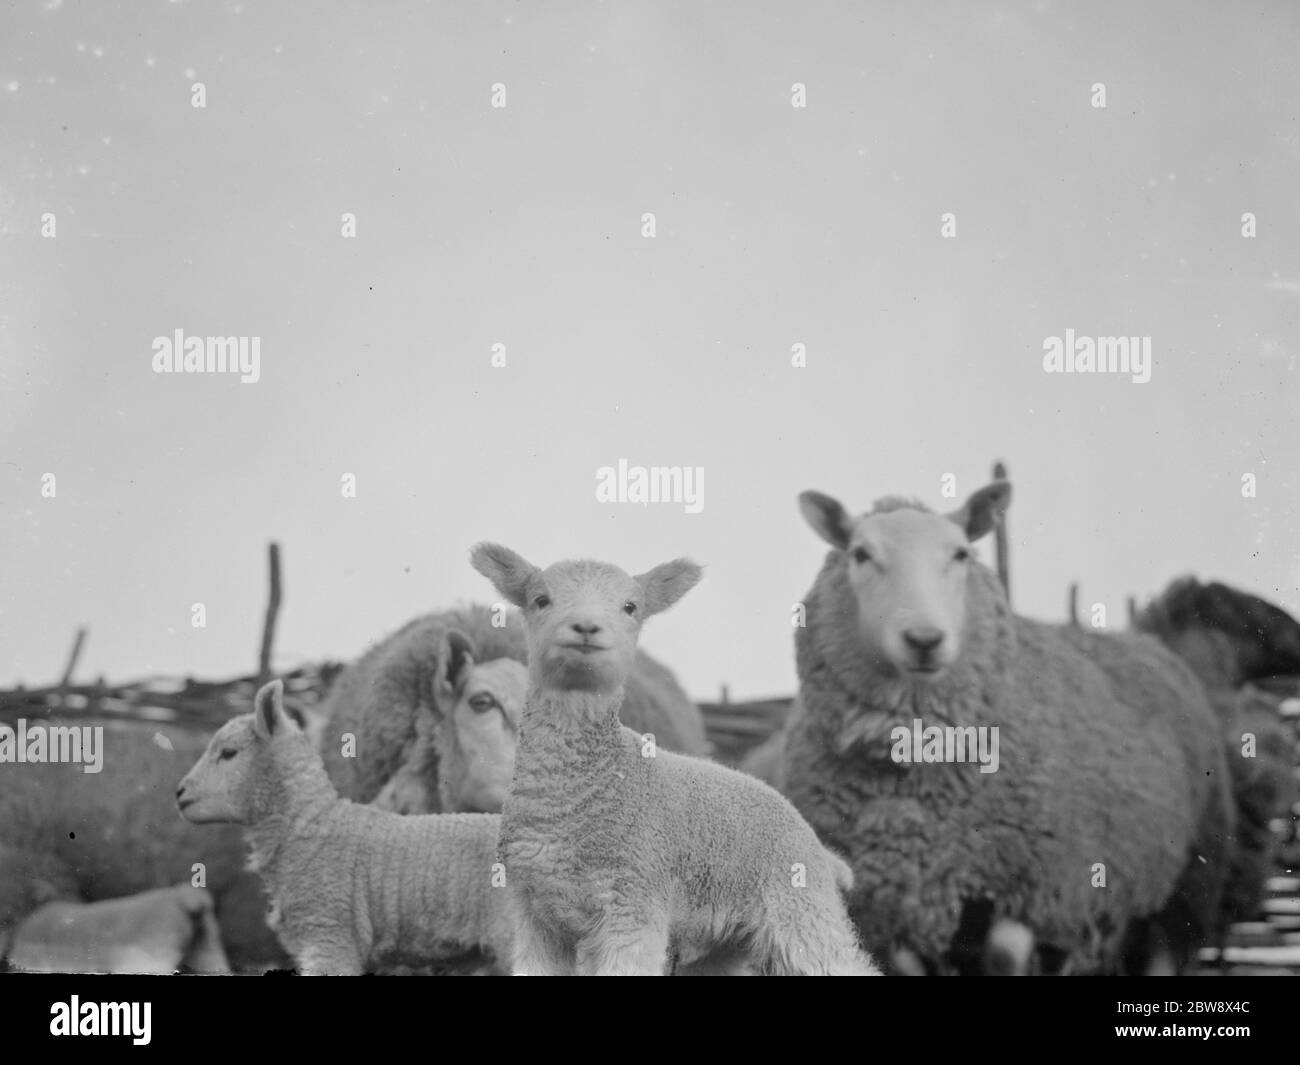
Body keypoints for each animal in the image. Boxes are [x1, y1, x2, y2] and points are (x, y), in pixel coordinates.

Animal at [470, 540, 883, 972]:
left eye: (630, 607)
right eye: (541, 600)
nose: (586, 627)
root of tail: (818, 846)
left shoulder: (633, 908)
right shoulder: (535, 916)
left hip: (800, 910)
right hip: (726, 941)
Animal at [785, 481, 1232, 972]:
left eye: (961, 553)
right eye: (861, 554)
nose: (924, 640)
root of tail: (1148, 643)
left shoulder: (1033, 887)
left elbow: (1004, 957)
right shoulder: (896, 904)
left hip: (1186, 884)